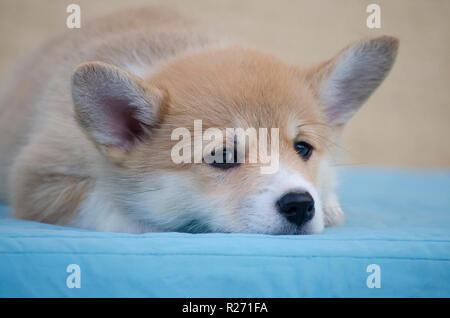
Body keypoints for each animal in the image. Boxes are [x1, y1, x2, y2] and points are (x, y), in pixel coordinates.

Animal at [0, 6, 400, 234]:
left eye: (303, 148)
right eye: (222, 157)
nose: (301, 205)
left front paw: (328, 204)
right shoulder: (38, 180)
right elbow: (115, 212)